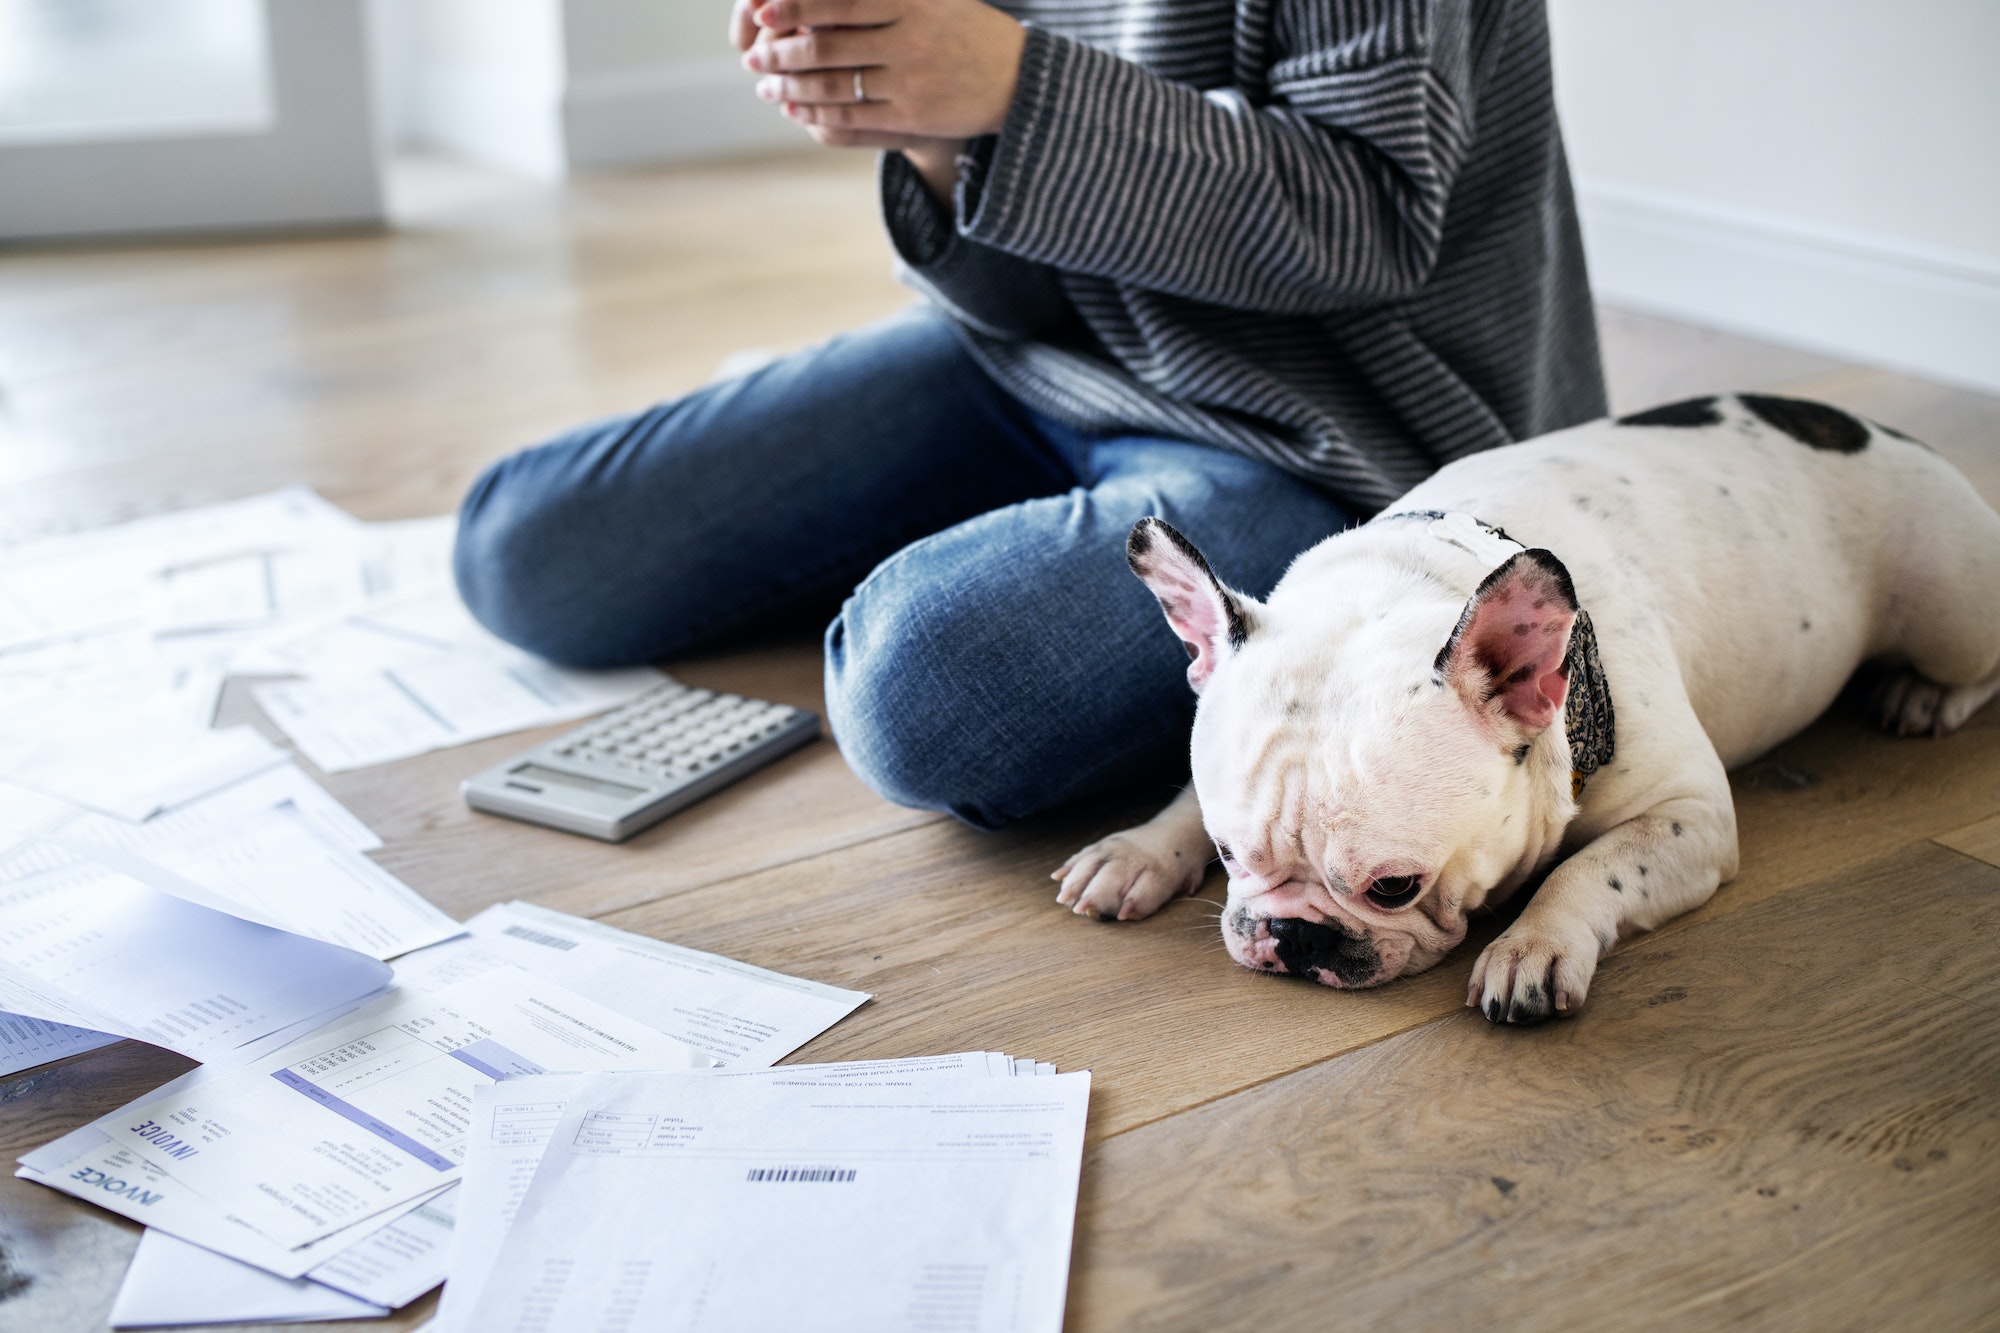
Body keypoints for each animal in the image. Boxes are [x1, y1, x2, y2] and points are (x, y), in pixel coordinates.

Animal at [1048, 392, 2000, 1016]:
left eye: (1394, 886)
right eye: (1227, 852)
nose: (1292, 937)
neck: (1423, 576)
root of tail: (1882, 430)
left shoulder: (1687, 814)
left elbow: (1592, 867)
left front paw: (1532, 945)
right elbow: (1180, 794)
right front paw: (1138, 849)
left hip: (1955, 609)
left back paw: (1926, 695)